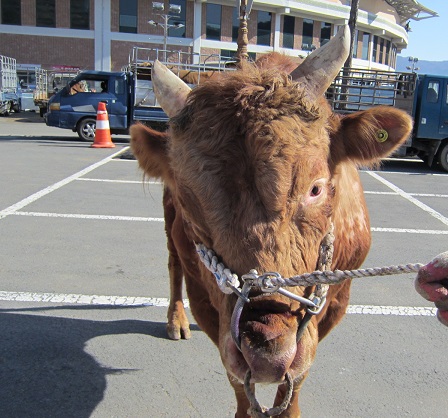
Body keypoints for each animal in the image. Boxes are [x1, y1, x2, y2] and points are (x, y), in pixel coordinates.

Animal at [130, 27, 412, 418]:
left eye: (315, 188)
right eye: (190, 200)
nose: (266, 354)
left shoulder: (336, 300)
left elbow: (294, 385)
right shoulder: (211, 309)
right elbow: (238, 383)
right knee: (173, 264)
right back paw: (176, 320)